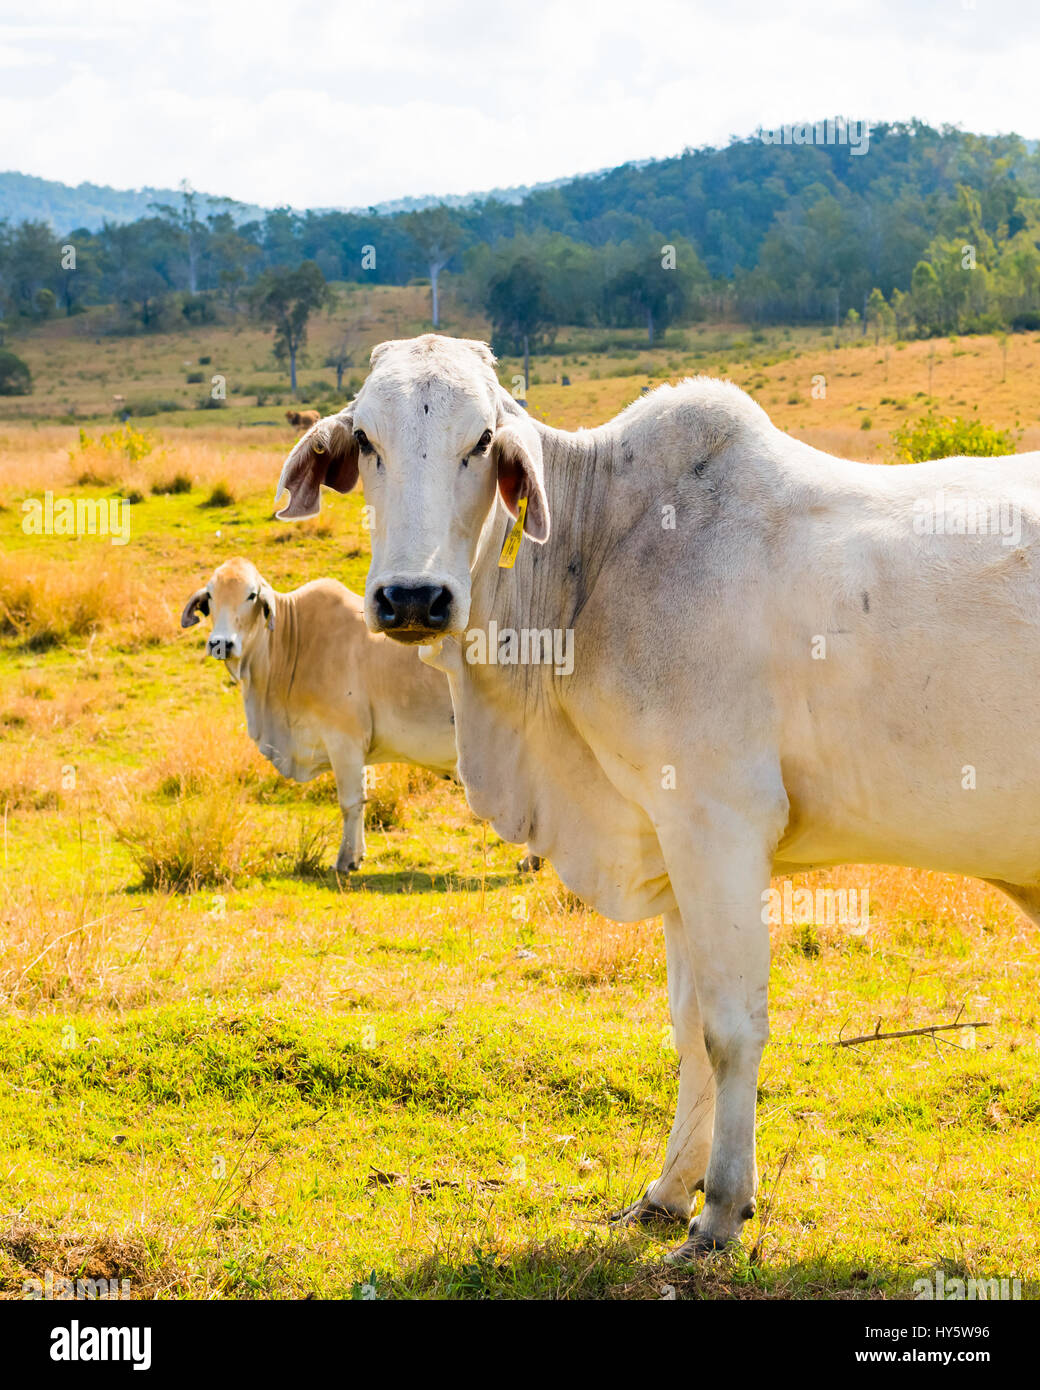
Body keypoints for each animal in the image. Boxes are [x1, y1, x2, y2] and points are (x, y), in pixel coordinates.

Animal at [180, 553, 456, 867]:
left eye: (251, 595)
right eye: (211, 595)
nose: (221, 644)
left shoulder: (344, 741)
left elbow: (351, 802)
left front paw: (346, 860)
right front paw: (359, 854)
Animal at [273, 333, 1040, 1262]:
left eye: (481, 440)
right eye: (368, 438)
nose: (412, 598)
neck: (598, 555)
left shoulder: (721, 826)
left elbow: (730, 1028)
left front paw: (722, 1209)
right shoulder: (670, 837)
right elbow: (686, 1029)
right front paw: (669, 1191)